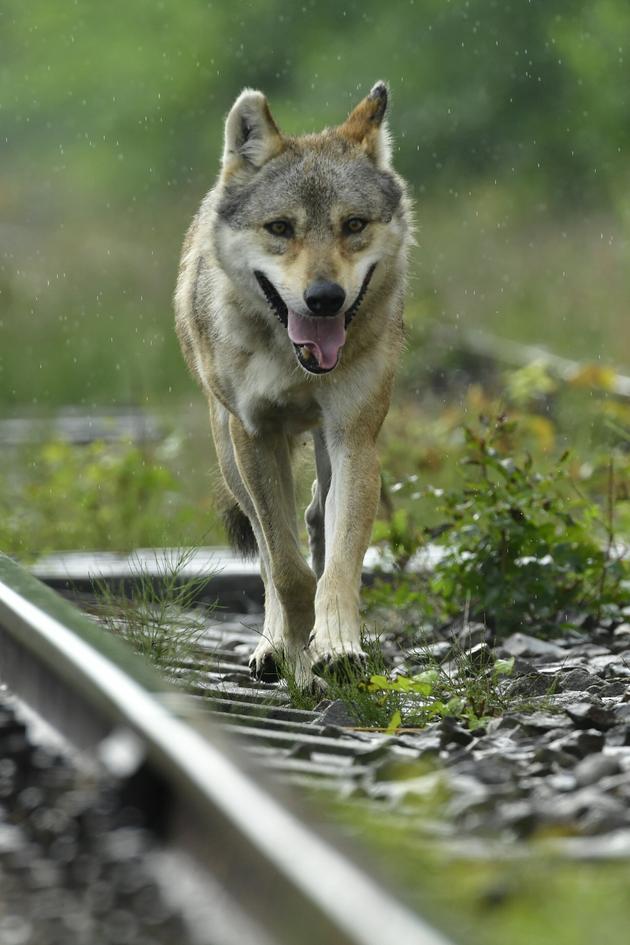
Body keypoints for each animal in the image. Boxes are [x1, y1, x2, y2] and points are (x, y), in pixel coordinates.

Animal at [175, 81, 412, 685]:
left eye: (354, 226)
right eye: (280, 228)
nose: (325, 298)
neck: (294, 361)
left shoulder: (355, 438)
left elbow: (339, 568)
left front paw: (338, 648)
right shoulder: (256, 436)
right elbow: (286, 570)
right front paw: (295, 655)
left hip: (328, 447)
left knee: (316, 519)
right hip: (230, 453)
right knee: (265, 548)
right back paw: (273, 647)